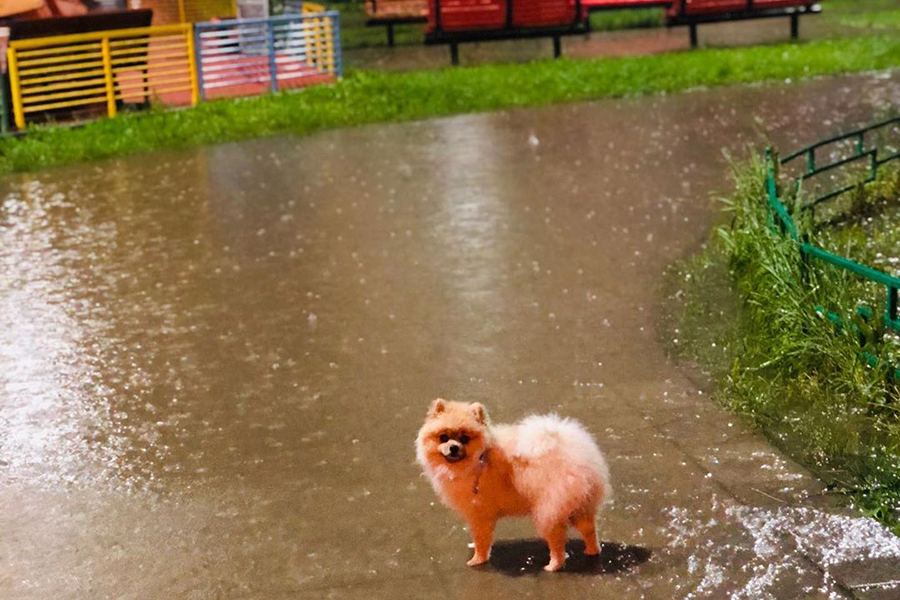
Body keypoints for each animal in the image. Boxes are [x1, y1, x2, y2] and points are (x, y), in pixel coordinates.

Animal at [416, 398, 612, 572]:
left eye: (464, 438)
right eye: (443, 437)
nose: (453, 447)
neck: (480, 459)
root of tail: (577, 453)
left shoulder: (480, 514)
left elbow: (481, 540)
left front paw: (478, 560)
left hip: (549, 509)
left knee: (557, 542)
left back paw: (553, 565)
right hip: (581, 506)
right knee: (589, 531)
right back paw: (591, 551)